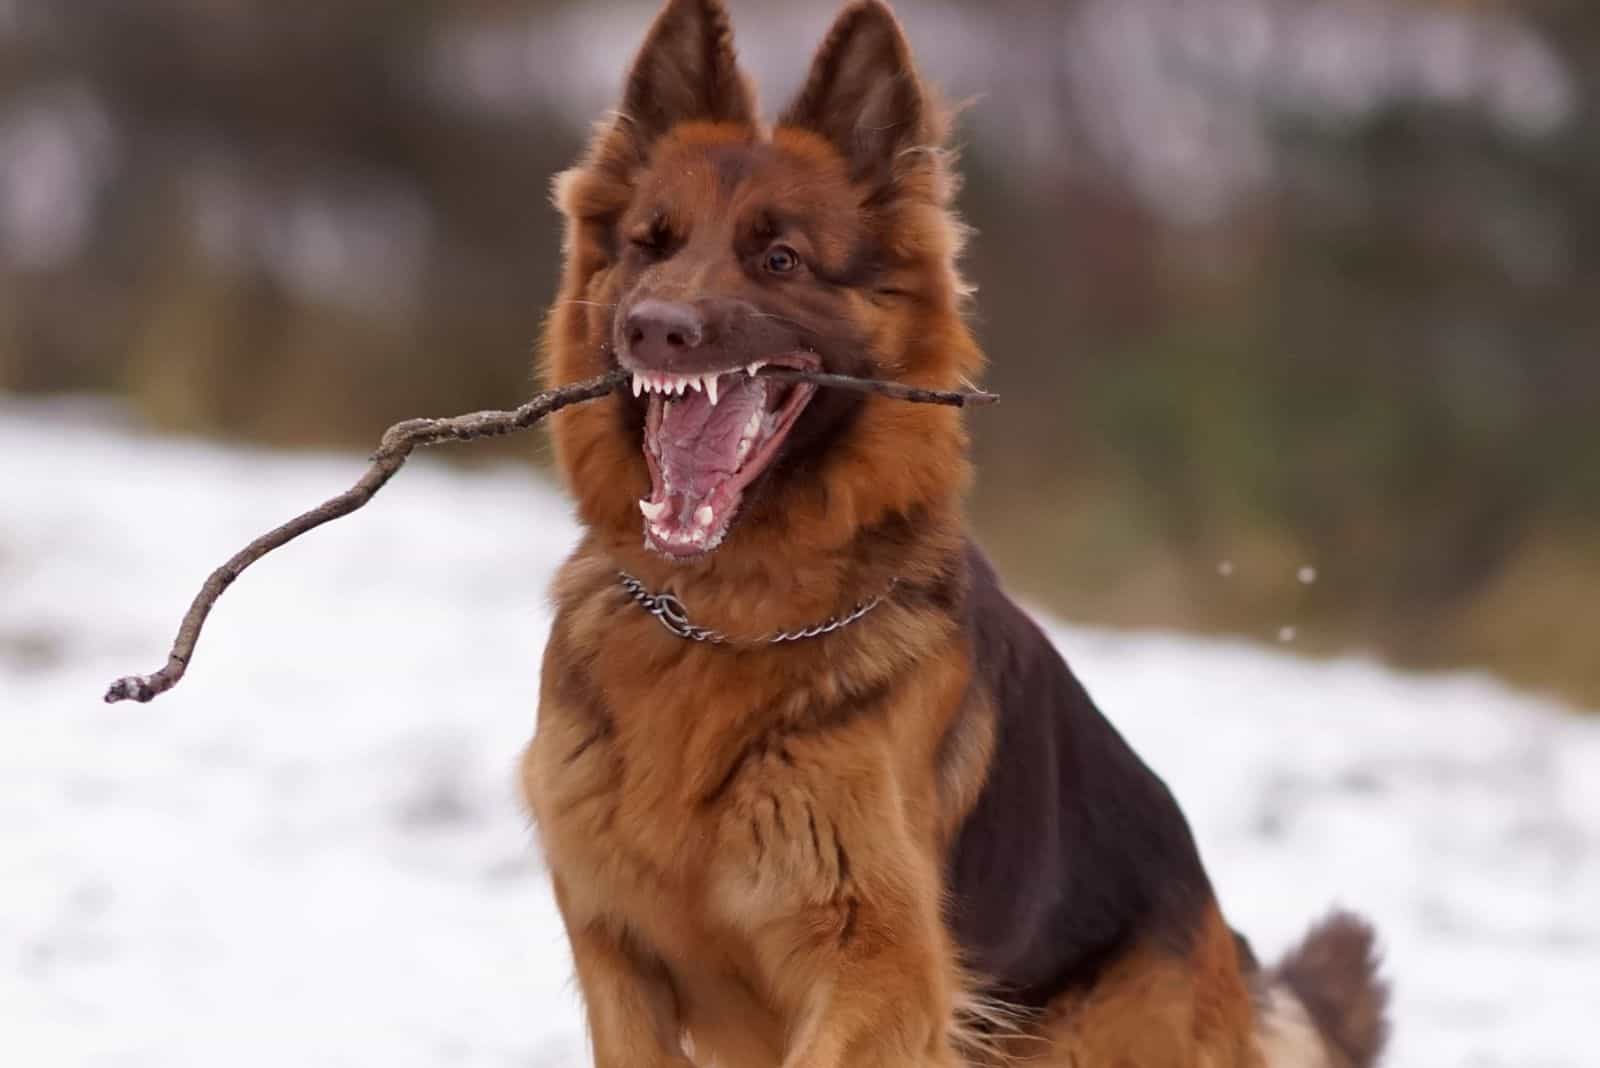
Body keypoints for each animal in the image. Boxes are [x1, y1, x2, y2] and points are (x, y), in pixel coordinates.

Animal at [524, 4, 1388, 1061]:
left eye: (780, 259)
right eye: (652, 243)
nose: (656, 329)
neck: (723, 622)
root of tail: (1233, 952)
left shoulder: (884, 974)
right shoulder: (619, 957)